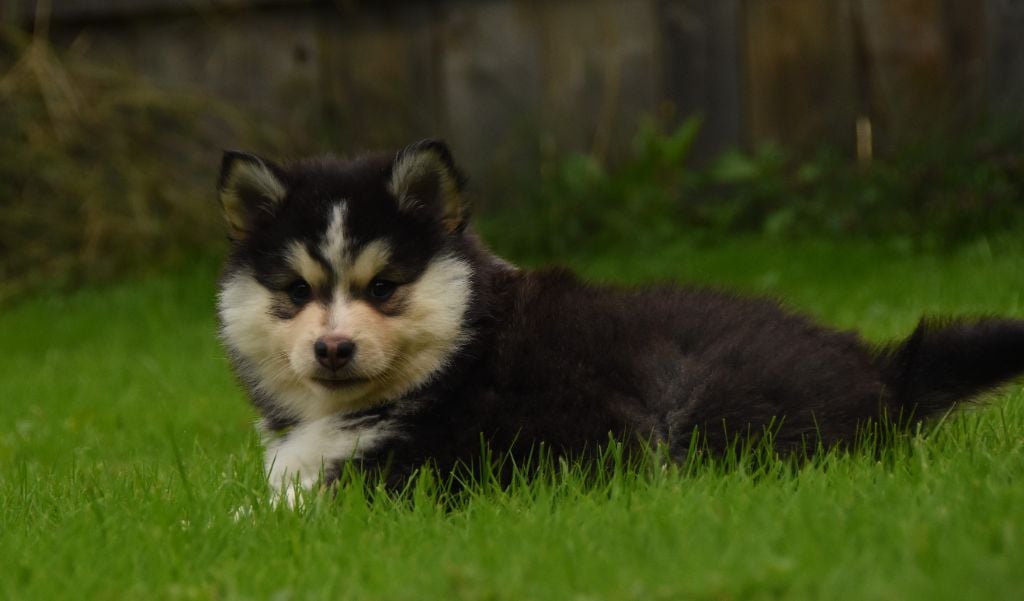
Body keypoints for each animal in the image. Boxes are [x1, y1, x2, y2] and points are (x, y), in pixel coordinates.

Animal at [216, 139, 1024, 501]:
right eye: (295, 290)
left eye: (384, 287)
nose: (332, 347)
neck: (460, 349)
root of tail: (880, 369)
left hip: (701, 394)